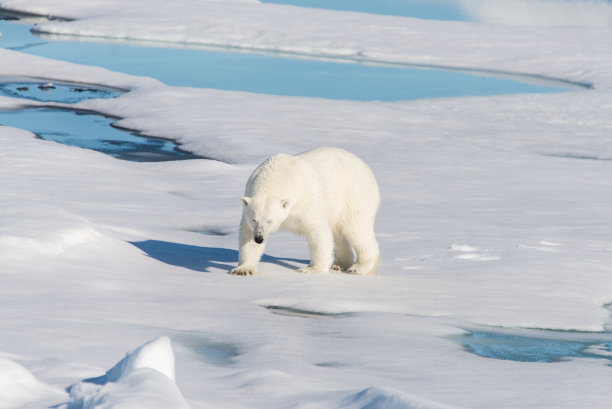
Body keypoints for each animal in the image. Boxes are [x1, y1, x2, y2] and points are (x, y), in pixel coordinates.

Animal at [231, 145, 380, 276]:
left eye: (270, 220)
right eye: (254, 219)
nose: (259, 238)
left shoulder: (308, 200)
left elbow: (318, 231)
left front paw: (311, 269)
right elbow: (247, 233)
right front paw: (244, 269)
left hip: (354, 195)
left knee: (356, 228)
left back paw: (359, 267)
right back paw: (339, 264)